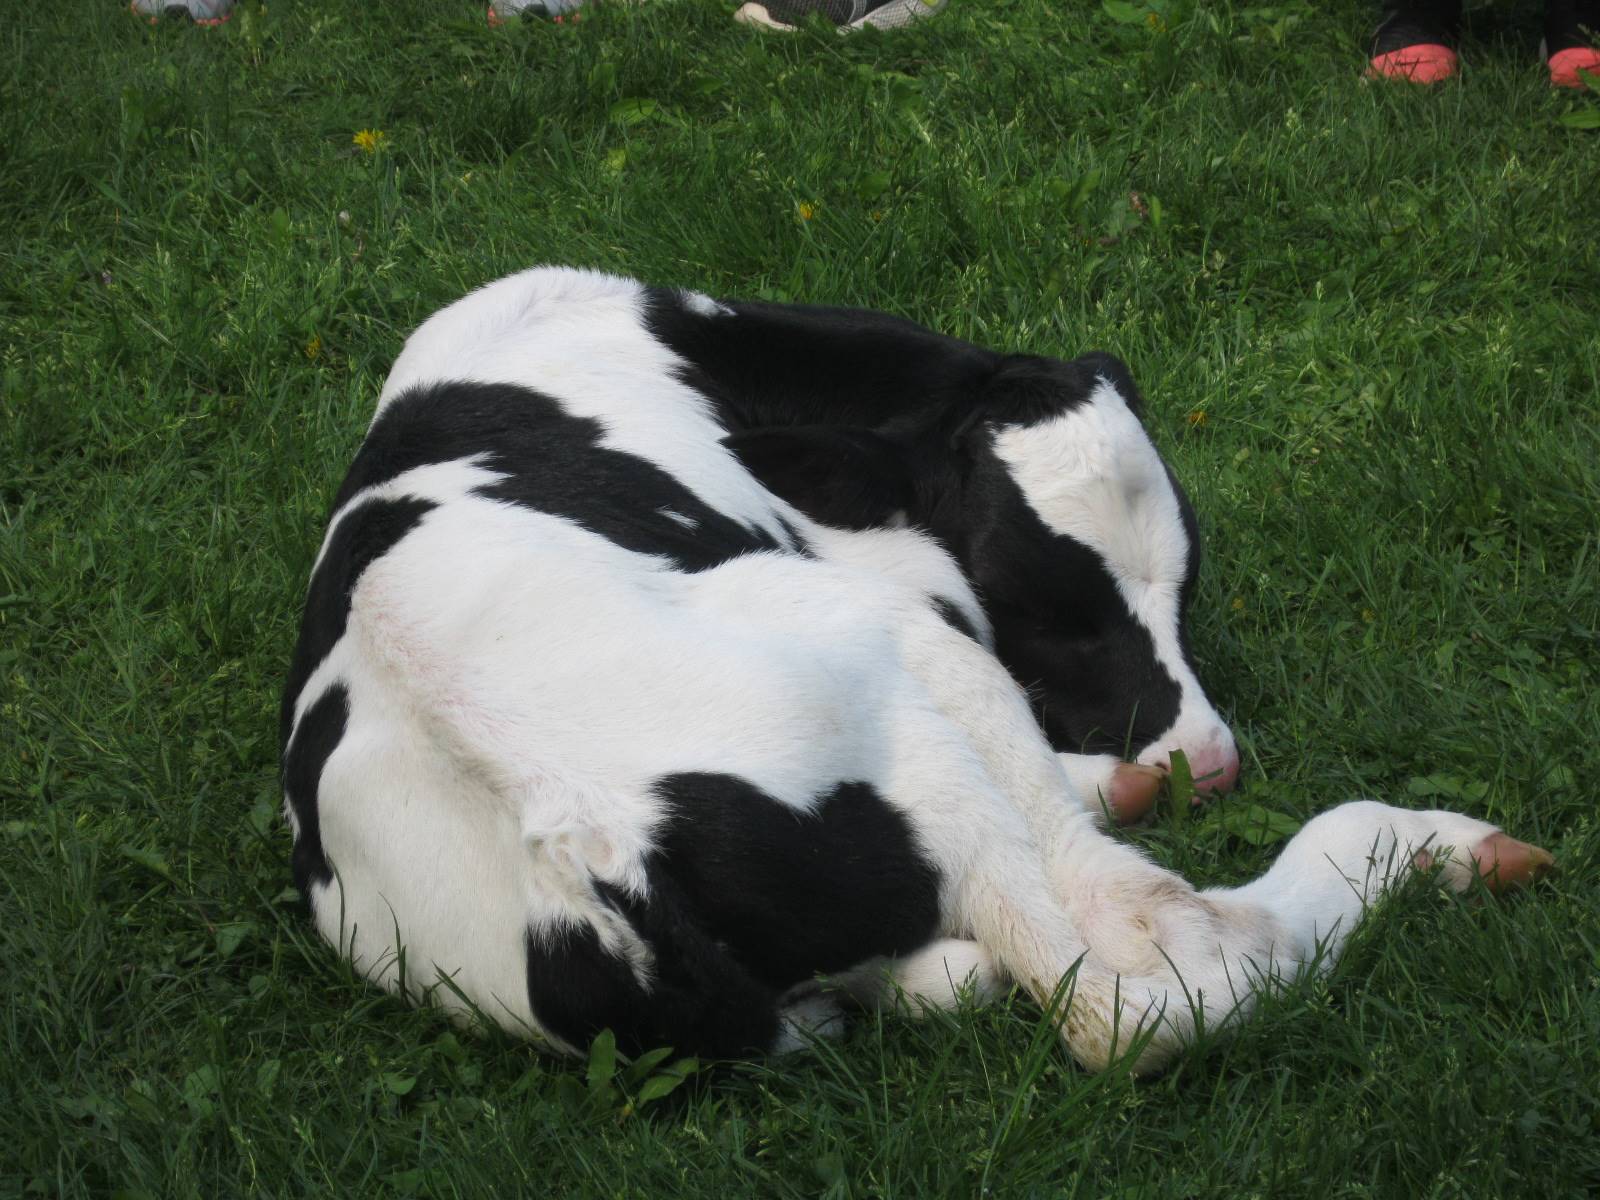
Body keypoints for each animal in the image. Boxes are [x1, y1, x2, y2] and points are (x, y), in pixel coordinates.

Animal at [278, 267, 1548, 1075]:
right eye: (1045, 606)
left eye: (1187, 580)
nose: (1208, 756)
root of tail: (583, 856)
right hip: (879, 650)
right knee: (1128, 985)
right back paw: (1426, 845)